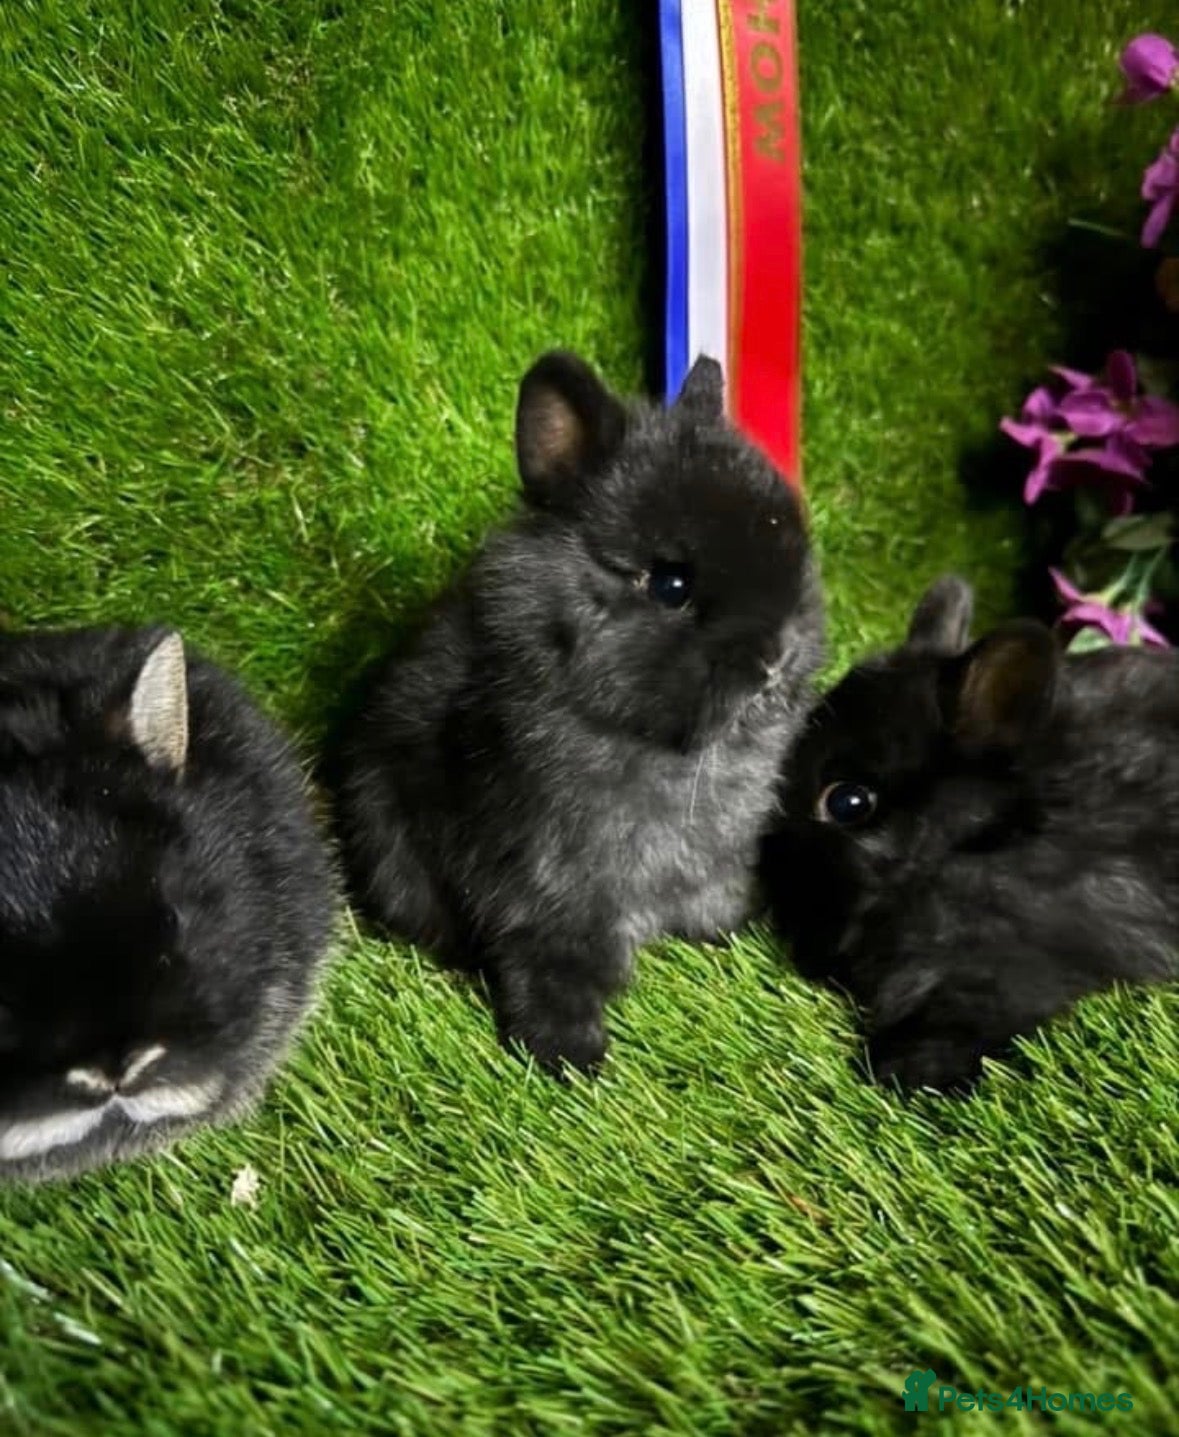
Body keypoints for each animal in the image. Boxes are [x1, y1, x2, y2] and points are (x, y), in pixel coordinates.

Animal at [333, 350, 824, 1075]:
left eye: (797, 560)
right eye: (670, 584)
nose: (777, 656)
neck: (664, 750)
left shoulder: (712, 865)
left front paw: (732, 933)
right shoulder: (548, 889)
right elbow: (551, 966)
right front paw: (568, 1058)